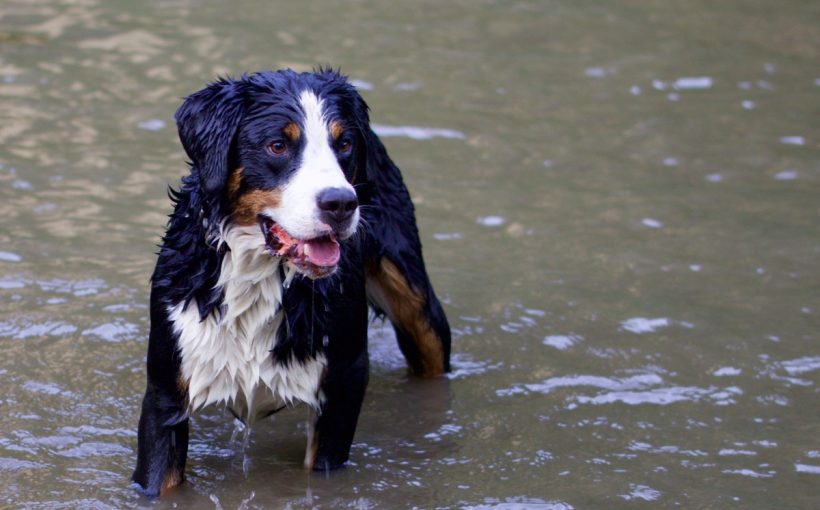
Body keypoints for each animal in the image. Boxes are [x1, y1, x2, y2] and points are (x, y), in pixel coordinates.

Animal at [132, 69, 452, 496]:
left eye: (344, 143)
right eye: (278, 145)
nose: (340, 203)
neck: (259, 276)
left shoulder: (343, 383)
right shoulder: (166, 392)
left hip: (419, 308)